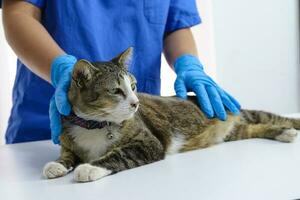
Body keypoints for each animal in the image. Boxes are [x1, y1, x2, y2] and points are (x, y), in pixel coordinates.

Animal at [43, 47, 298, 182]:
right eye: (116, 90)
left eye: (133, 86)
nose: (136, 103)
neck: (94, 124)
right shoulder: (68, 140)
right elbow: (67, 155)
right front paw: (57, 165)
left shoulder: (148, 142)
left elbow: (119, 154)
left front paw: (89, 167)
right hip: (234, 132)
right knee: (255, 128)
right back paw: (284, 133)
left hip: (238, 112)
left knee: (268, 117)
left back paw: (290, 126)